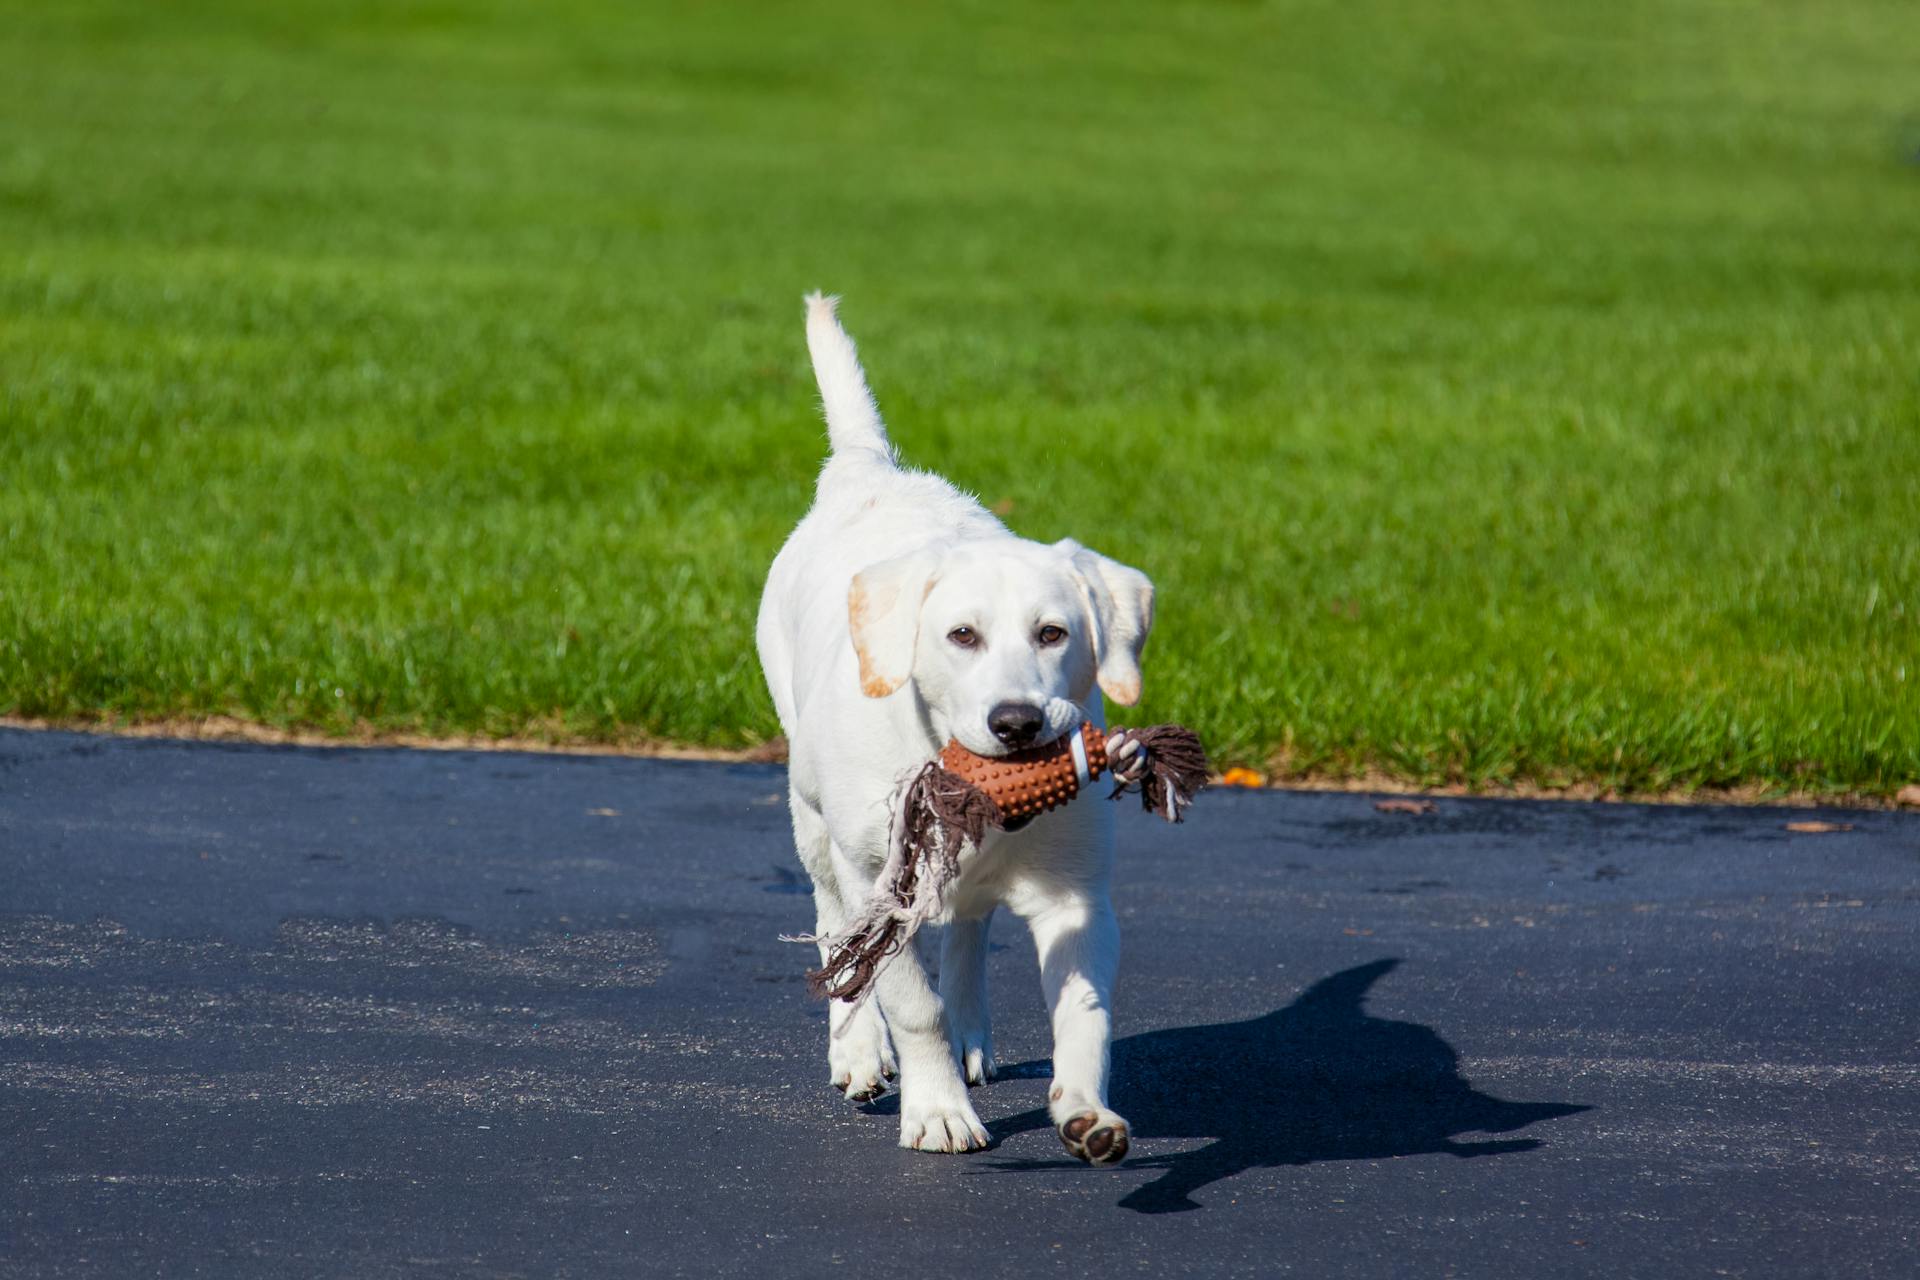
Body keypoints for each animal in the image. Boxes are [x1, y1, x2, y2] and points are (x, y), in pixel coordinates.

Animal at [756, 295, 1152, 1166]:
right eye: (960, 636)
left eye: (1053, 634)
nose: (1016, 722)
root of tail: (871, 471)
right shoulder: (878, 877)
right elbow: (910, 1000)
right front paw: (935, 1111)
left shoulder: (1078, 892)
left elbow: (1084, 1011)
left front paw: (1085, 1109)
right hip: (813, 823)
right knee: (835, 931)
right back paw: (857, 1048)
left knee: (970, 928)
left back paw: (972, 1031)